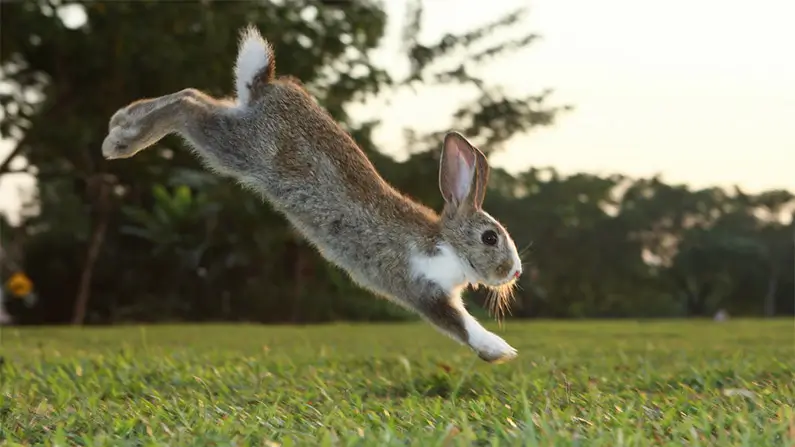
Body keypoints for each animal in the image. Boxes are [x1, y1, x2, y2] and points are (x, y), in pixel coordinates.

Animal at [101, 25, 524, 363]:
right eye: (490, 238)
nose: (515, 271)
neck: (446, 242)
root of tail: (267, 86)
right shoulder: (422, 288)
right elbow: (460, 324)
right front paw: (500, 351)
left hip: (234, 126)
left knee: (194, 95)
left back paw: (121, 121)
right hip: (238, 147)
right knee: (186, 105)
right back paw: (120, 141)